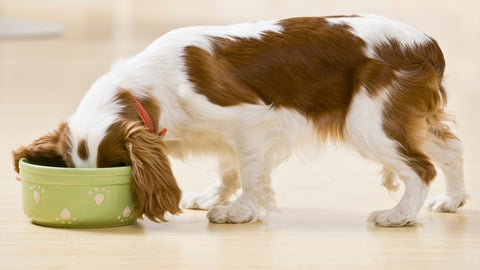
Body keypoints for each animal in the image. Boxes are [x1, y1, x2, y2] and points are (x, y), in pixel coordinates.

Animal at [12, 15, 468, 226]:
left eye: (118, 168)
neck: (146, 88)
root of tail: (427, 44)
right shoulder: (225, 135)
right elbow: (229, 167)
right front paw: (216, 195)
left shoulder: (247, 121)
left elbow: (250, 173)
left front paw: (239, 211)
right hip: (406, 118)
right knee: (450, 149)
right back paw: (453, 200)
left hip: (369, 122)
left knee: (420, 168)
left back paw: (399, 215)